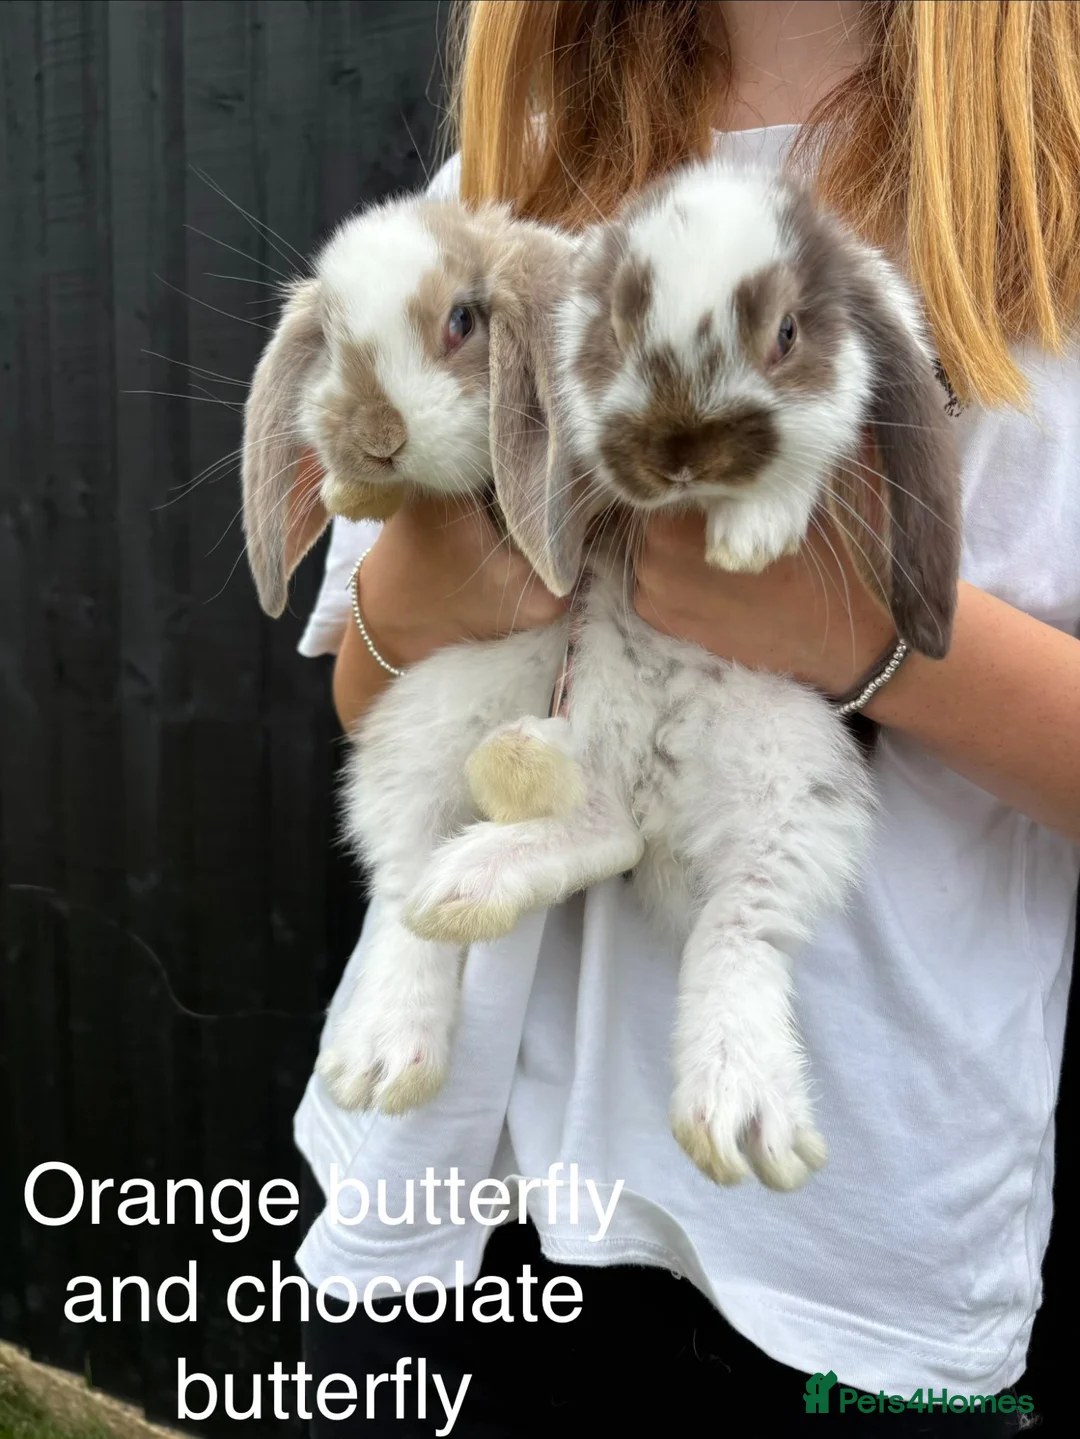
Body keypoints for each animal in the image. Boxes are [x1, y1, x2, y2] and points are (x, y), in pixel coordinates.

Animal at [241, 190, 578, 1116]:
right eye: (329, 336)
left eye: (463, 319)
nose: (374, 434)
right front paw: (352, 488)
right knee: (409, 901)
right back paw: (384, 1057)